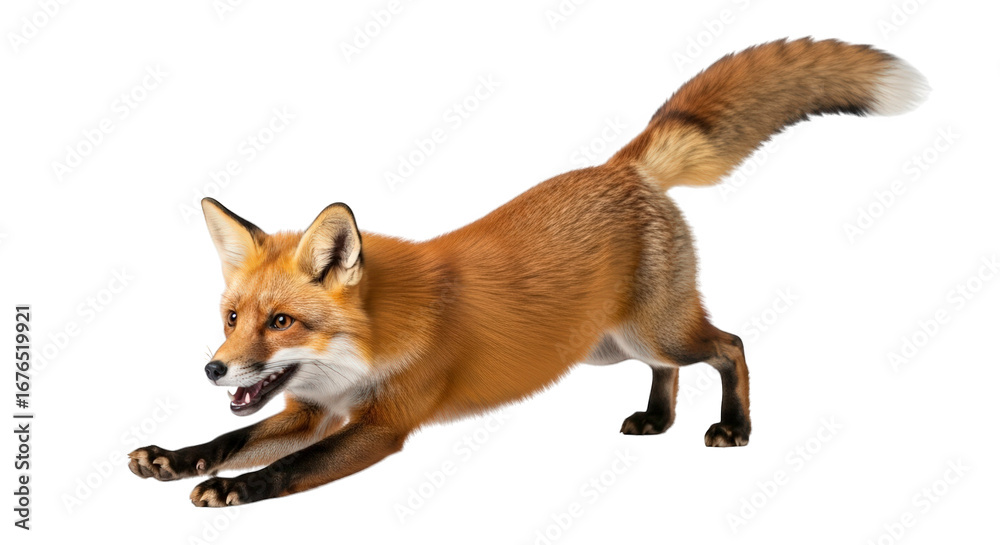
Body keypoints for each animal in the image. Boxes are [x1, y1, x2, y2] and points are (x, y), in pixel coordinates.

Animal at [128, 38, 928, 506]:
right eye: (232, 318)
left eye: (283, 321)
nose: (213, 368)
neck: (368, 345)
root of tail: (620, 167)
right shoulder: (313, 409)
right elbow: (230, 437)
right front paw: (176, 457)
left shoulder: (384, 425)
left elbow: (285, 468)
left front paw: (231, 489)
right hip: (611, 347)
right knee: (672, 369)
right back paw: (658, 419)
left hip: (657, 330)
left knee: (730, 346)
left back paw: (733, 427)